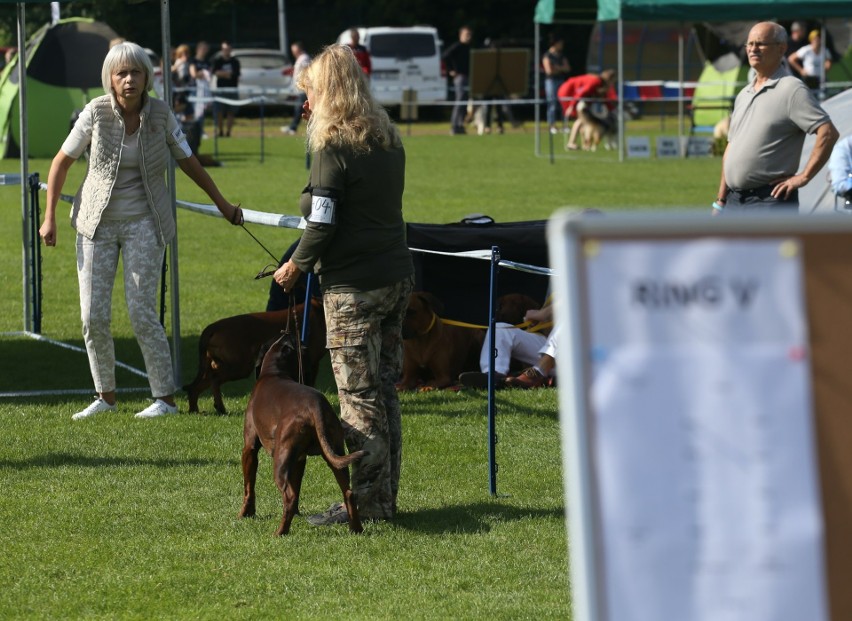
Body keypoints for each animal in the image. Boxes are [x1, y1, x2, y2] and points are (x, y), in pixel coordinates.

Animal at [185, 300, 328, 412]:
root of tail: (212, 328)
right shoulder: (311, 364)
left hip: (216, 366)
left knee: (195, 387)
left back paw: (195, 410)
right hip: (240, 367)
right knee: (214, 380)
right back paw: (220, 407)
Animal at [238, 332, 364, 536]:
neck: (273, 372)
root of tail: (315, 405)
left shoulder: (249, 449)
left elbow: (249, 487)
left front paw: (245, 513)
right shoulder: (299, 459)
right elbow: (297, 489)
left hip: (280, 462)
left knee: (288, 496)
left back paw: (280, 532)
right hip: (335, 456)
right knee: (349, 493)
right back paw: (356, 528)